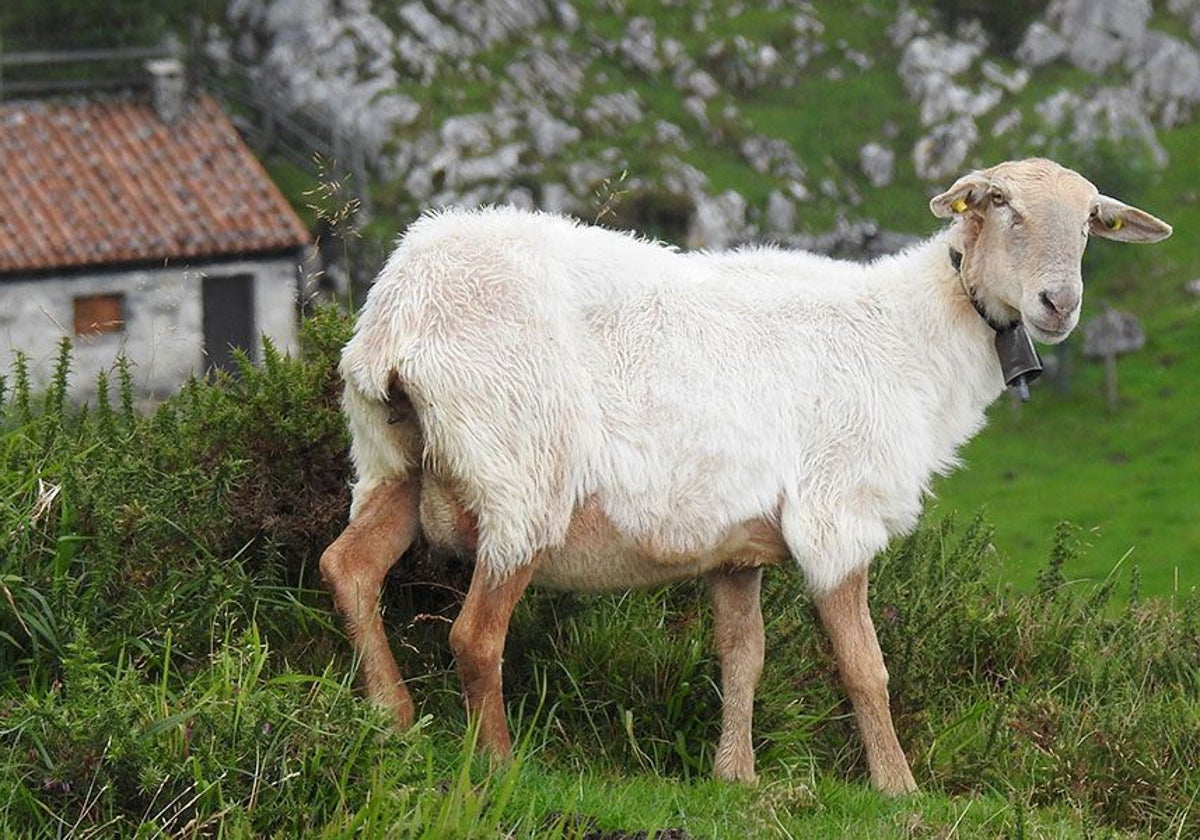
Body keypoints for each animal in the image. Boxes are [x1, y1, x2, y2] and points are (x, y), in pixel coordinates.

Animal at [319, 157, 1171, 792]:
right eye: (1001, 205)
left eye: (1091, 221)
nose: (1059, 304)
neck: (913, 335)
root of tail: (399, 313)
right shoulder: (837, 517)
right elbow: (865, 666)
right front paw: (898, 787)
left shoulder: (736, 543)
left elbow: (742, 656)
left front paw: (737, 775)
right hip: (519, 473)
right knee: (473, 636)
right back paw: (499, 766)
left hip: (394, 459)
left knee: (349, 568)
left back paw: (391, 720)